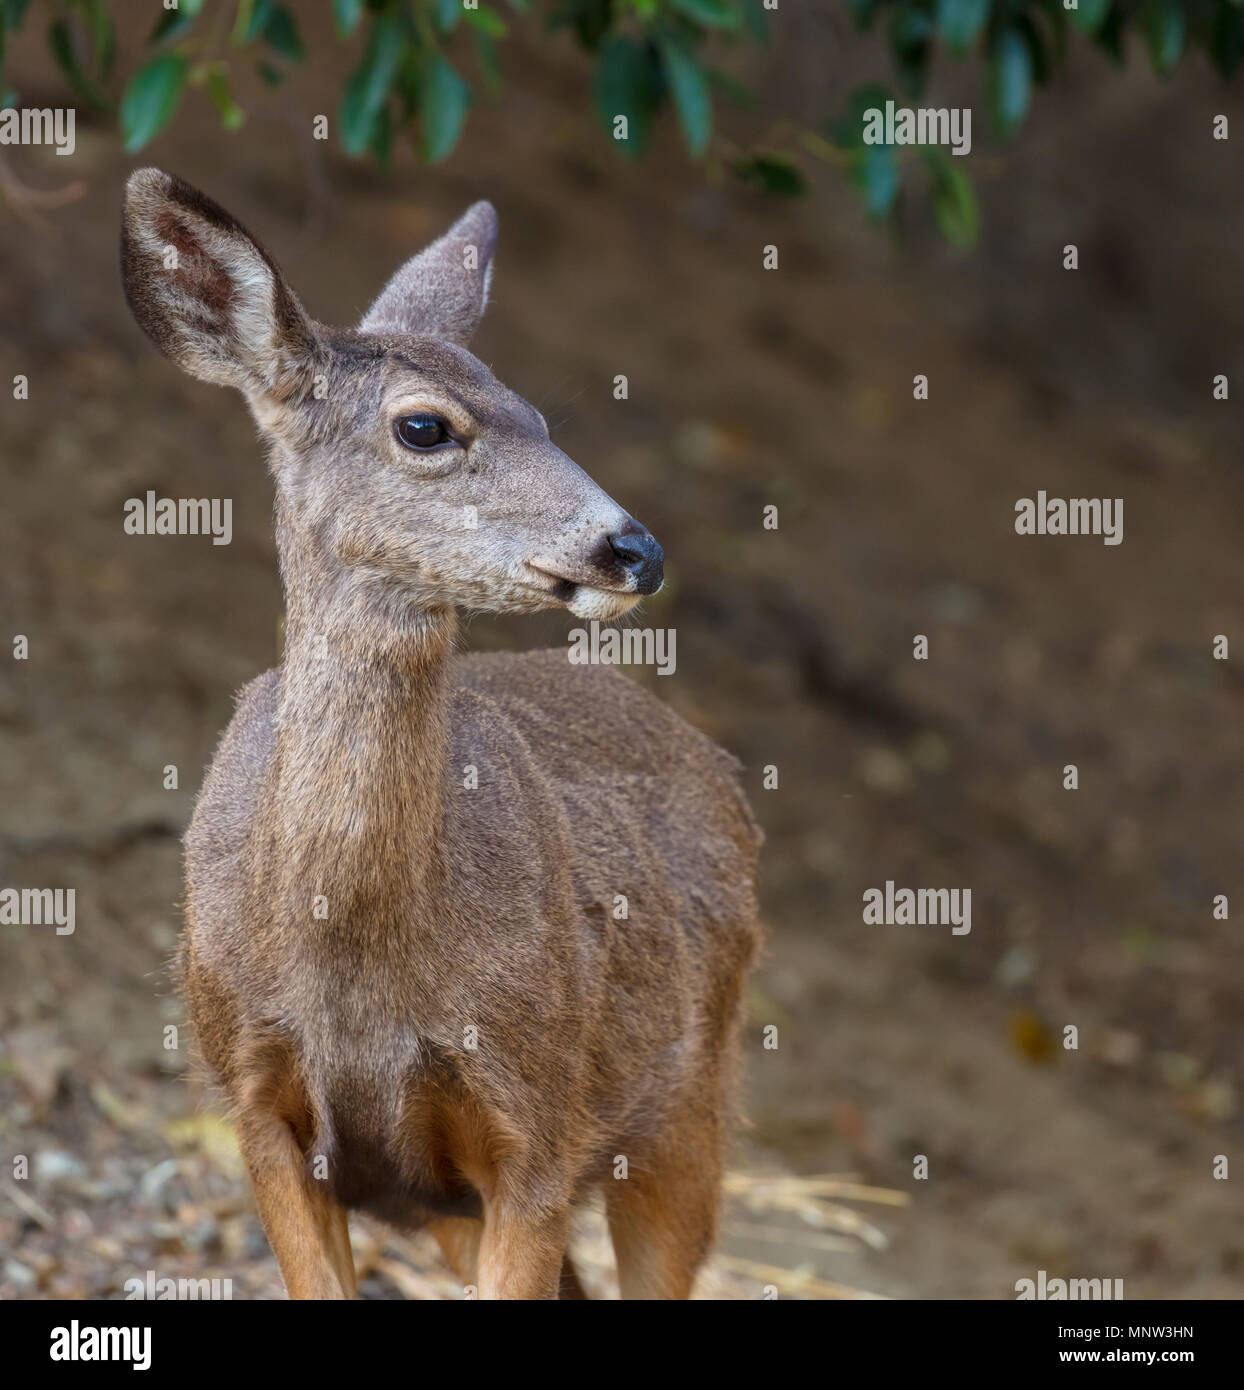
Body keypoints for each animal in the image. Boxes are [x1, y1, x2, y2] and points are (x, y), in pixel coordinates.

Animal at [121, 168, 761, 1295]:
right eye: (425, 428)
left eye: (541, 415)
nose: (634, 549)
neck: (356, 965)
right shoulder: (258, 1109)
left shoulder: (536, 1126)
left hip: (689, 1104)